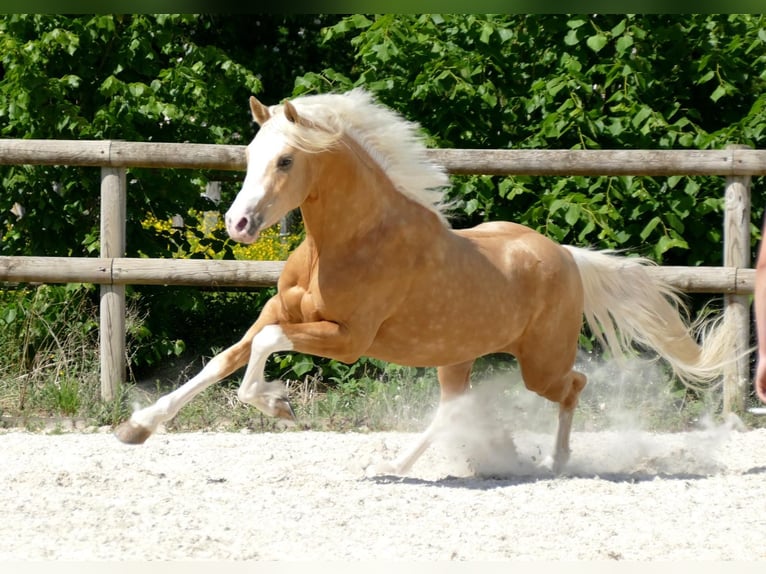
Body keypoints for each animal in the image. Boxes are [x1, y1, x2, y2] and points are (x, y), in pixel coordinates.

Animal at [115, 90, 736, 476]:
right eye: (250, 154)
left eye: (286, 160)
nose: (237, 224)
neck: (345, 243)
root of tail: (565, 255)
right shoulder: (279, 314)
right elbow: (222, 360)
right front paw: (137, 427)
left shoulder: (347, 338)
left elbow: (260, 354)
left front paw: (278, 405)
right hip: (455, 355)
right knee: (452, 410)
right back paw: (395, 466)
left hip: (539, 363)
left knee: (574, 386)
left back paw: (558, 463)